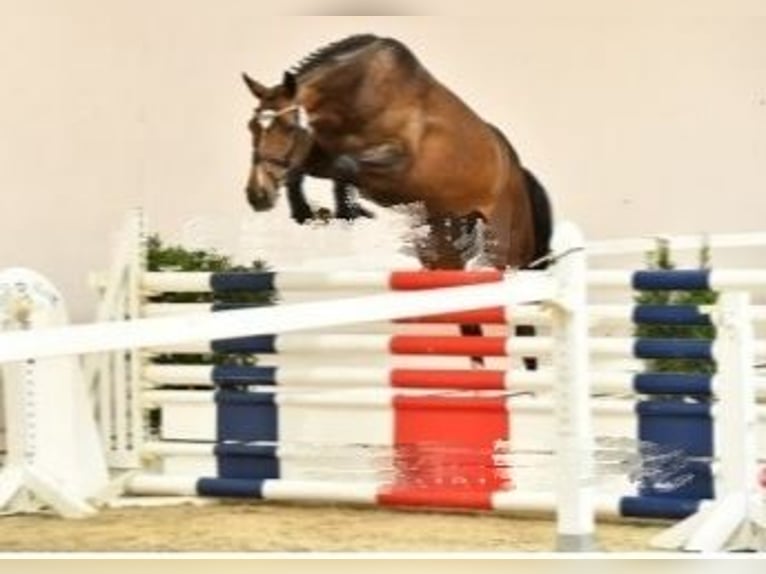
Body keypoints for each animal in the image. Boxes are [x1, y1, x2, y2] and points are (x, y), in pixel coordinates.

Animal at [242, 34, 553, 367]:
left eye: (287, 127)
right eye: (251, 127)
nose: (257, 195)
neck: (355, 95)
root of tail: (518, 169)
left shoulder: (398, 163)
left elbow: (344, 164)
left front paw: (347, 208)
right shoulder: (321, 154)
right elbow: (309, 168)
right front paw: (309, 211)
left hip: (507, 249)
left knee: (523, 314)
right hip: (443, 252)